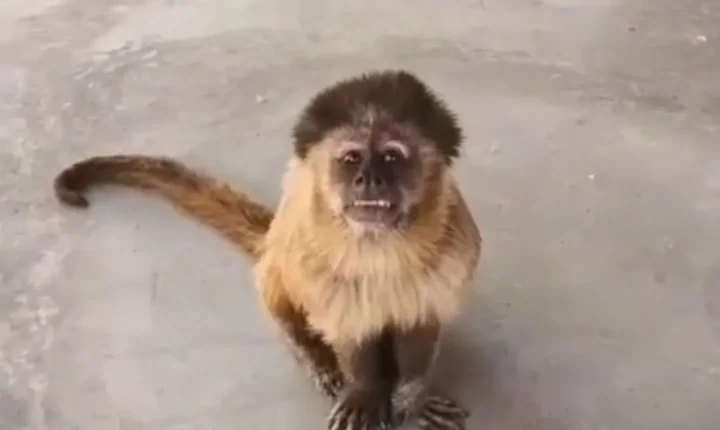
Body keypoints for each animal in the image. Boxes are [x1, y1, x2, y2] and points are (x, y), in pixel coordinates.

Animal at [53, 69, 482, 430]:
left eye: (392, 156)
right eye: (351, 158)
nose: (368, 179)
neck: (379, 244)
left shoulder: (454, 249)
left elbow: (421, 323)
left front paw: (411, 400)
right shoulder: (313, 249)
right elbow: (346, 327)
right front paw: (364, 391)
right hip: (283, 249)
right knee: (279, 279)